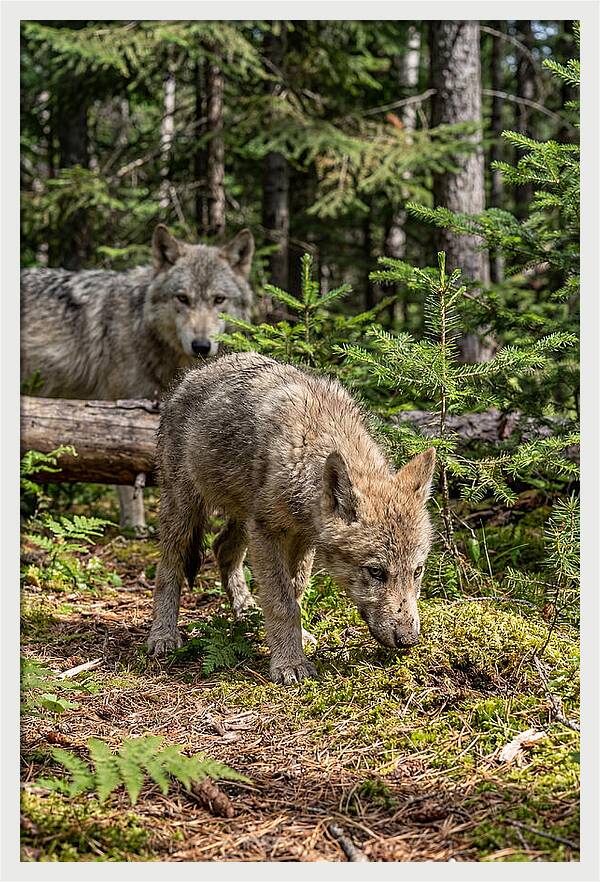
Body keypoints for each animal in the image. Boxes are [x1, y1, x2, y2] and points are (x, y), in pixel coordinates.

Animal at [20, 225, 255, 531]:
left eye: (219, 299)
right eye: (182, 298)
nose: (201, 346)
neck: (141, 326)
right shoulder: (122, 411)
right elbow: (127, 478)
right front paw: (135, 528)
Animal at [149, 352, 436, 684]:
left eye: (417, 571)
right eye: (376, 572)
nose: (408, 640)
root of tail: (192, 374)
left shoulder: (302, 539)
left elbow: (296, 593)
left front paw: (296, 640)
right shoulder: (268, 533)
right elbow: (282, 602)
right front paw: (289, 663)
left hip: (244, 519)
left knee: (222, 548)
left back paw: (246, 612)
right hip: (185, 511)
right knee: (169, 566)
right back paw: (163, 635)